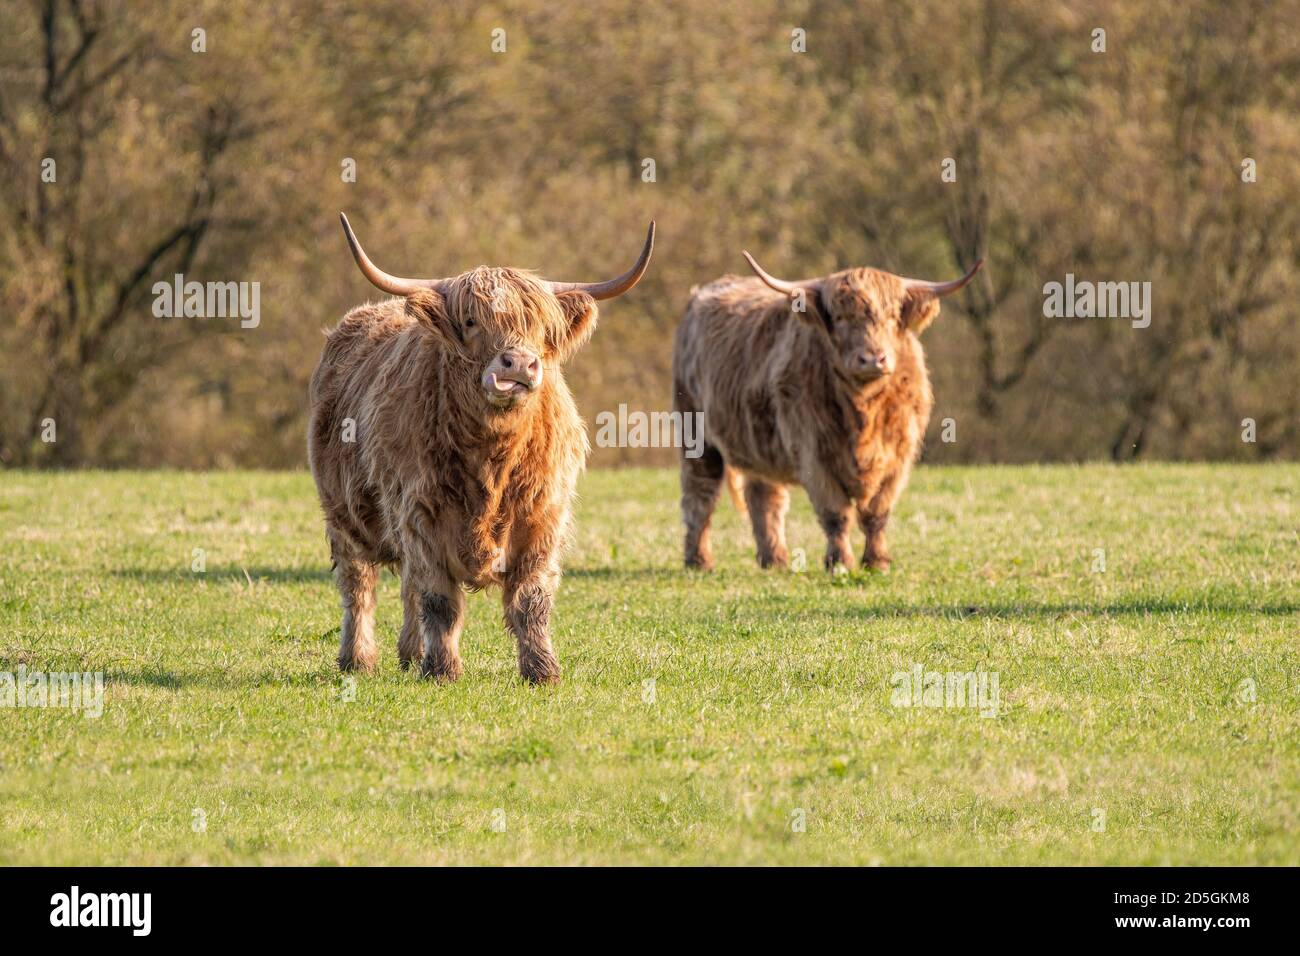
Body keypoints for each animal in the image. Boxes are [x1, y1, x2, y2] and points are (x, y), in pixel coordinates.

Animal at [309, 214, 654, 683]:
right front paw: (442, 669)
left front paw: (542, 670)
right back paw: (358, 659)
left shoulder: (542, 515)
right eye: (471, 321)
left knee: (406, 587)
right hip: (343, 516)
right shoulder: (421, 513)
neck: (493, 459)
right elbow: (440, 601)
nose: (519, 364)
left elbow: (531, 602)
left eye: (541, 328)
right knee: (359, 586)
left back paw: (410, 653)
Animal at [672, 251, 981, 573]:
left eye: (892, 317)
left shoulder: (899, 455)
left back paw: (775, 559)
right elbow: (836, 513)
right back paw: (699, 560)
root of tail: (702, 294)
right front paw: (840, 562)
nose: (873, 359)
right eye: (841, 318)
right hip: (694, 430)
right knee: (700, 493)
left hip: (759, 442)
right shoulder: (813, 452)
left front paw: (877, 561)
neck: (864, 411)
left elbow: (877, 512)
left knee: (764, 496)